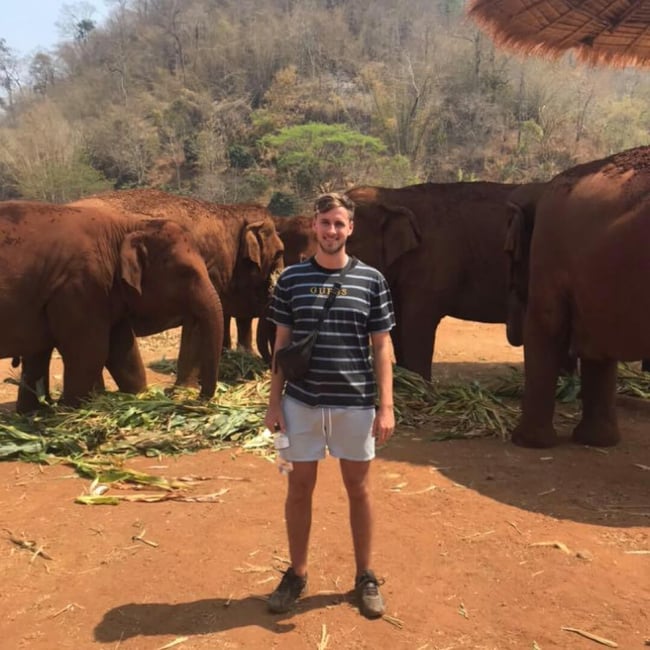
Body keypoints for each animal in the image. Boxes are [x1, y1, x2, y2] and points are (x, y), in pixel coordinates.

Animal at [0, 200, 223, 410]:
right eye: (186, 272)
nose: (199, 399)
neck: (128, 225)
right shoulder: (81, 286)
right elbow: (90, 353)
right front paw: (72, 411)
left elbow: (124, 350)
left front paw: (140, 398)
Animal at [71, 190, 284, 388]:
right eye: (280, 253)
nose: (266, 366)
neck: (231, 212)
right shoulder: (209, 269)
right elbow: (199, 318)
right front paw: (185, 390)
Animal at [342, 180, 524, 378]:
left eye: (347, 241)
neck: (392, 197)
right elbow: (398, 325)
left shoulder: (433, 264)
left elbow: (417, 325)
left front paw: (418, 382)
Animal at [506, 145, 648, 446]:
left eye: (510, 255)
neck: (540, 188)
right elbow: (598, 343)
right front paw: (599, 441)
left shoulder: (549, 246)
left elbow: (546, 322)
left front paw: (527, 442)